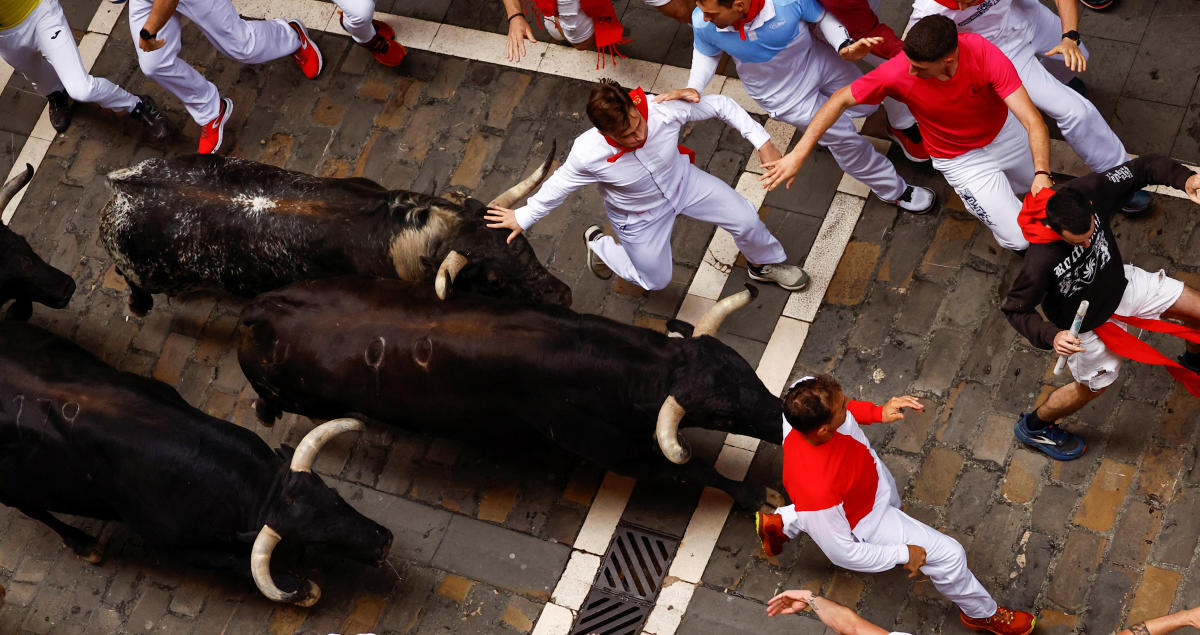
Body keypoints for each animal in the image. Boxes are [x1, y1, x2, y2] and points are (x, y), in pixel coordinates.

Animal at [0, 321, 388, 604]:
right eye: (312, 539)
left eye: (334, 495)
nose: (384, 540)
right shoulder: (177, 545)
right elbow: (235, 563)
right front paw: (304, 589)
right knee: (32, 509)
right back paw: (84, 545)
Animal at [96, 143, 573, 314]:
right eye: (493, 279)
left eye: (524, 245)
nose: (563, 296)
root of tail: (121, 184)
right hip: (145, 274)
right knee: (136, 286)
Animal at [241, 274, 787, 501]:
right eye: (723, 416)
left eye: (747, 370)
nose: (783, 416)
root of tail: (261, 308)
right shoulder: (621, 454)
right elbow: (695, 471)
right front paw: (753, 494)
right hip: (297, 397)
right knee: (272, 403)